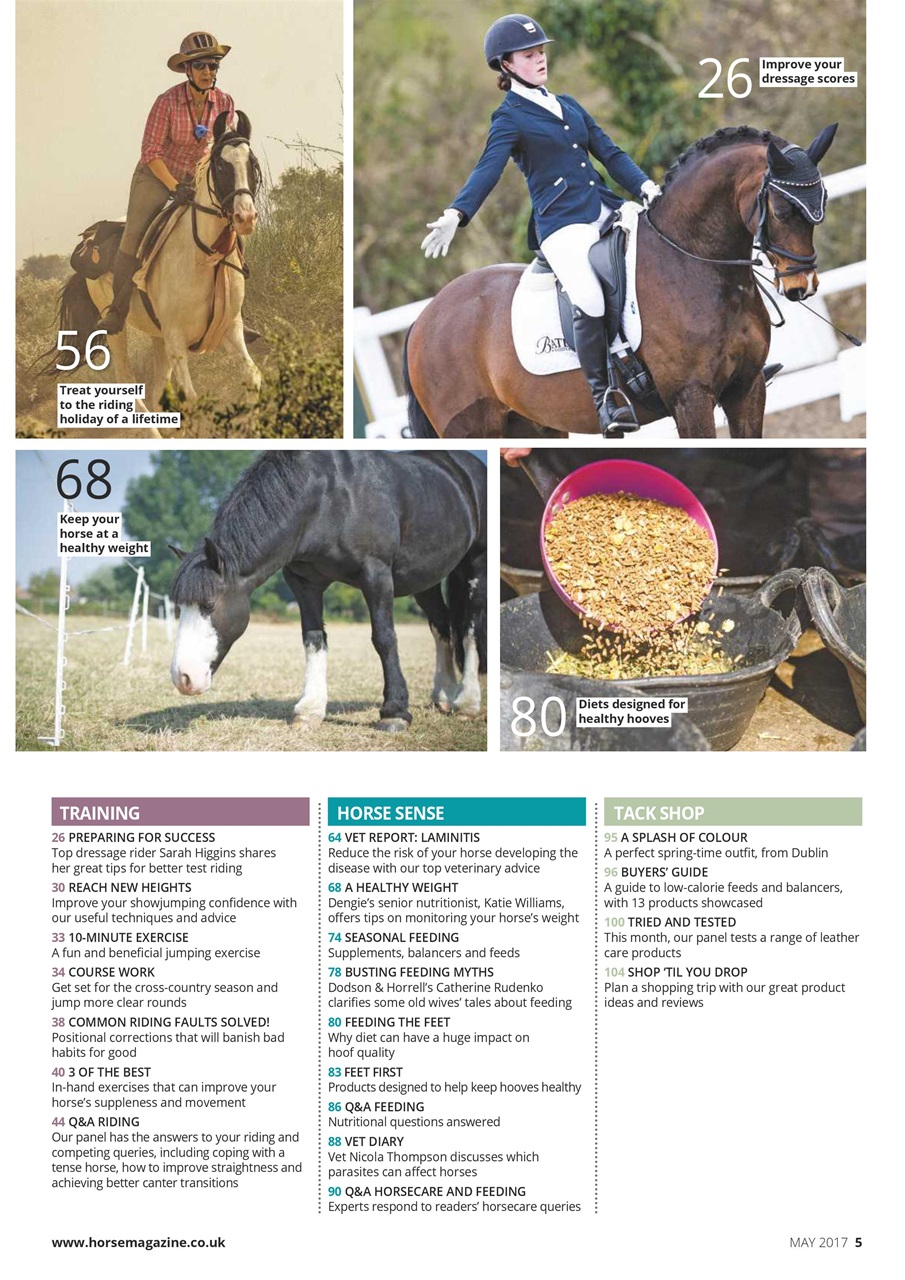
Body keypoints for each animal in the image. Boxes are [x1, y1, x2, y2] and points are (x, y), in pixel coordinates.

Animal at [55, 111, 262, 436]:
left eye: (251, 163)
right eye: (220, 165)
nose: (245, 216)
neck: (204, 259)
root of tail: (89, 238)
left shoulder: (229, 329)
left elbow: (252, 377)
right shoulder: (176, 338)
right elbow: (191, 398)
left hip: (158, 338)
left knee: (154, 393)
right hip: (119, 331)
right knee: (128, 386)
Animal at [169, 451, 487, 732]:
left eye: (209, 604)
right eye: (179, 607)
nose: (183, 677)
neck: (327, 497)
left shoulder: (376, 574)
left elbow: (384, 639)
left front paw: (394, 712)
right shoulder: (303, 582)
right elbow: (313, 639)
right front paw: (309, 710)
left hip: (476, 566)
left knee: (469, 630)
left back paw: (467, 703)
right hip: (425, 578)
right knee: (442, 626)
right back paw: (444, 695)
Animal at [403, 124, 838, 441]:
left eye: (823, 203)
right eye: (781, 210)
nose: (802, 285)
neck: (693, 263)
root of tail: (423, 319)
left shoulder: (747, 388)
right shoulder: (691, 398)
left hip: (533, 425)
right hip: (474, 428)